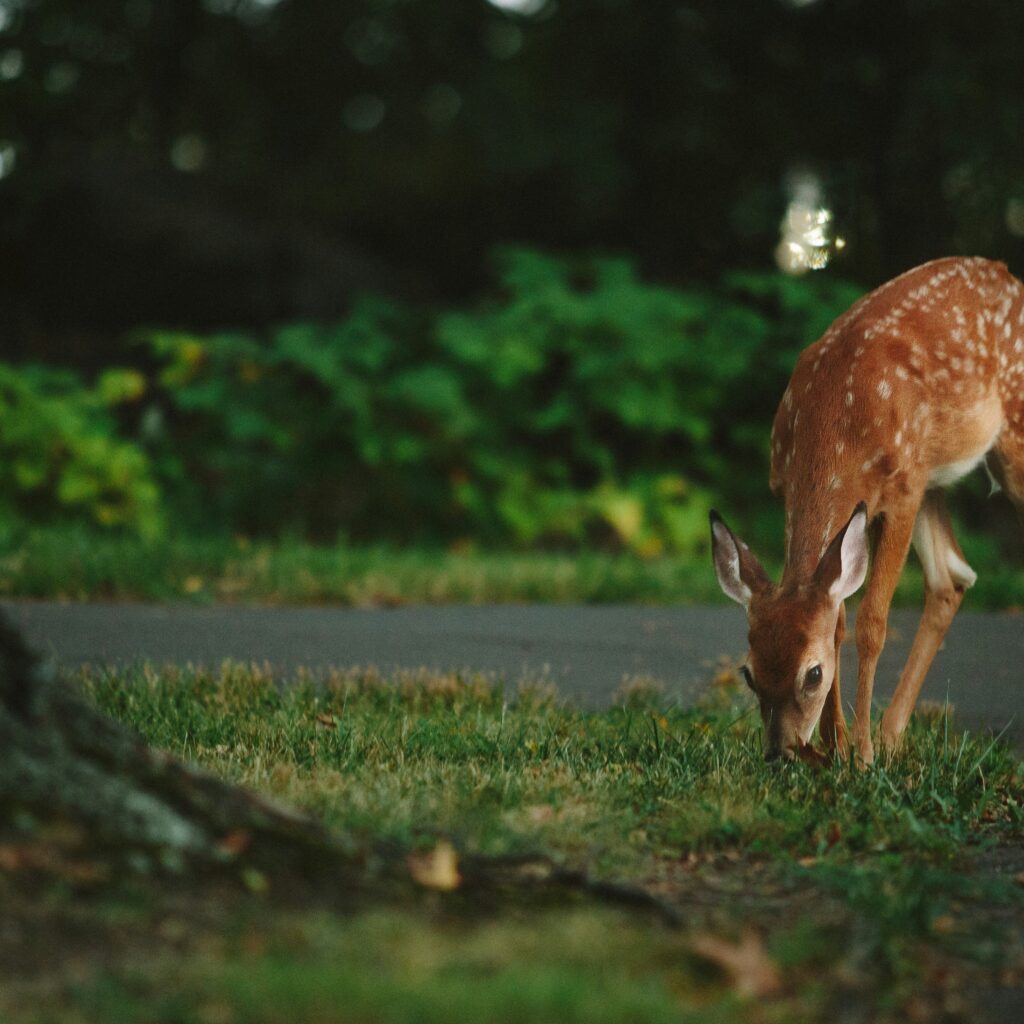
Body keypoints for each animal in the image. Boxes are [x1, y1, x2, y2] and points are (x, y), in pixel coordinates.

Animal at [710, 256, 1024, 764]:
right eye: (749, 673)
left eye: (813, 674)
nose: (781, 753)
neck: (836, 423)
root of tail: (1007, 273)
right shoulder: (796, 490)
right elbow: (837, 618)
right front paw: (836, 746)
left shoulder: (900, 493)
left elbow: (872, 622)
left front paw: (861, 754)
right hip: (932, 477)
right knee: (951, 578)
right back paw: (894, 735)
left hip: (1004, 440)